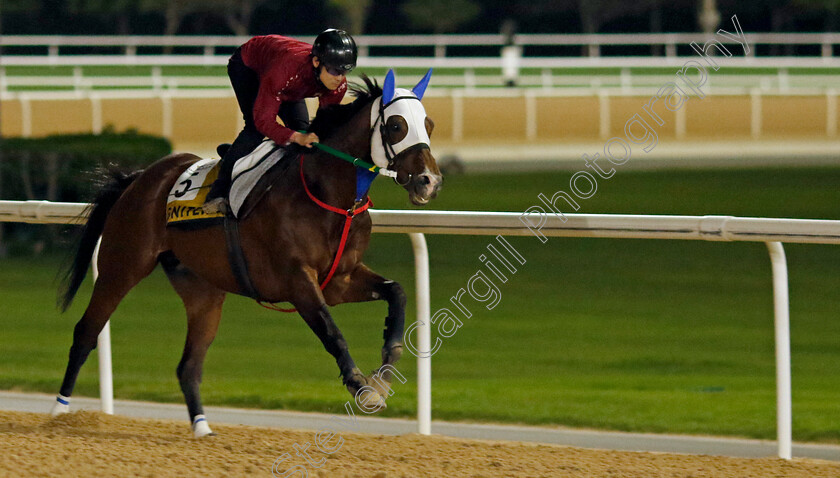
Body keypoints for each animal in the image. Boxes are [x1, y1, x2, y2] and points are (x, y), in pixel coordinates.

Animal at [49, 69, 442, 438]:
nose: (430, 181)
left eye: (429, 125)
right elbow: (331, 330)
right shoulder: (298, 280)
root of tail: (139, 177)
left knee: (188, 366)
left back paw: (202, 428)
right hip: (122, 264)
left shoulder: (341, 278)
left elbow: (397, 292)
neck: (328, 195)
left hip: (202, 289)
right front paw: (361, 386)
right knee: (86, 332)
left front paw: (386, 369)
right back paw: (58, 412)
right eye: (396, 125)